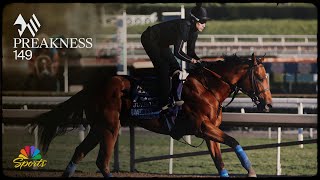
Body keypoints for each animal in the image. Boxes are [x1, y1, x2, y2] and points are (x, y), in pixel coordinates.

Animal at [29, 53, 272, 177]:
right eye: (260, 78)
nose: (268, 104)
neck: (207, 88)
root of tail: (95, 85)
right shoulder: (202, 127)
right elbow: (233, 140)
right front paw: (251, 172)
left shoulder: (208, 131)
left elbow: (220, 161)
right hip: (110, 127)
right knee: (102, 161)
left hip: (99, 126)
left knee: (80, 152)